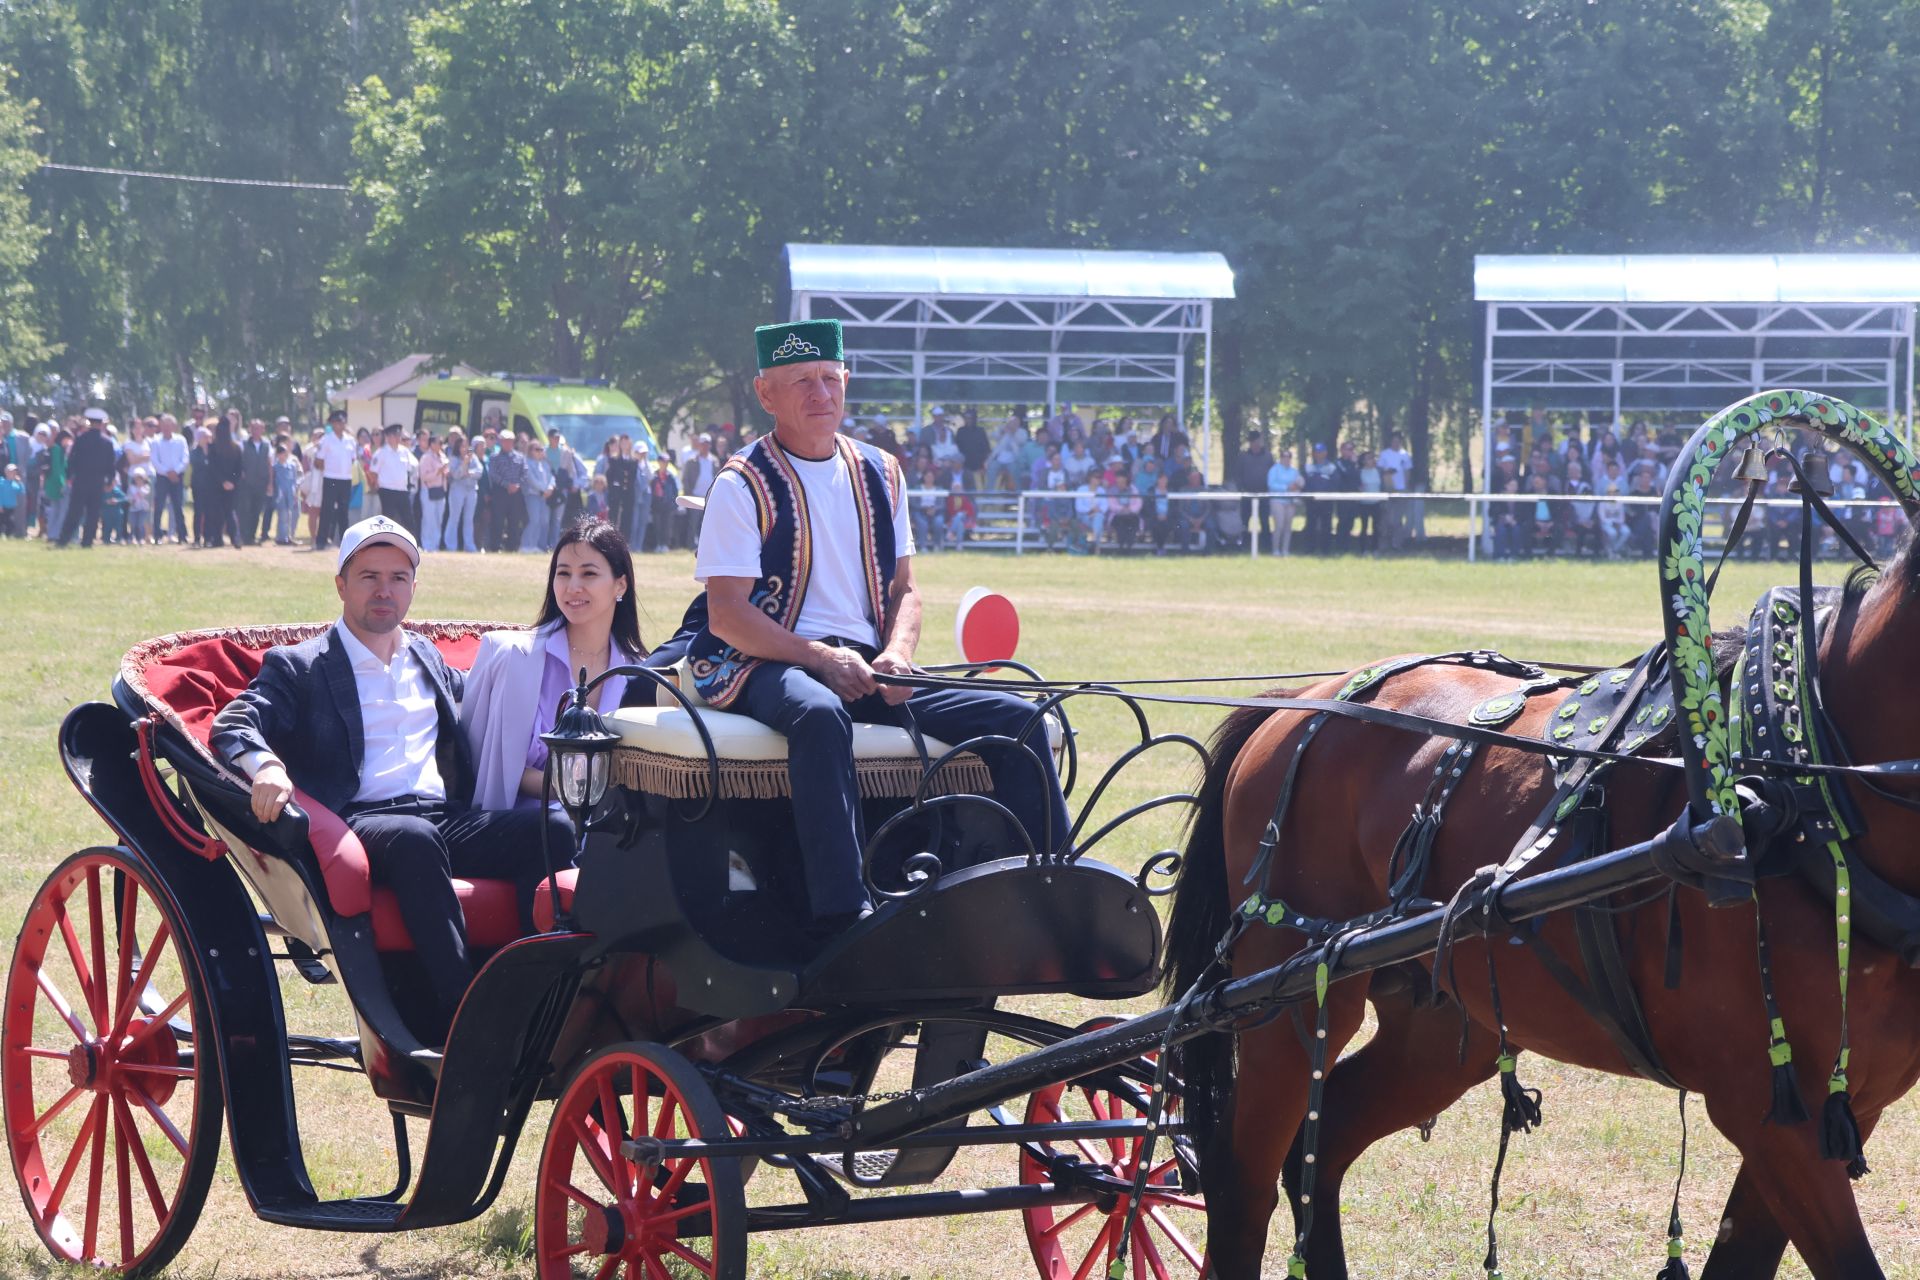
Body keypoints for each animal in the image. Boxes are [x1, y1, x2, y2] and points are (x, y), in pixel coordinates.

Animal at [1159, 537, 1920, 1274]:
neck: (1800, 796)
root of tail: (1302, 702)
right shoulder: (1769, 1111)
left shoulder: (1845, 1106)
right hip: (1286, 1003)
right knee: (1241, 1182)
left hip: (1440, 1023)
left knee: (1322, 1149)